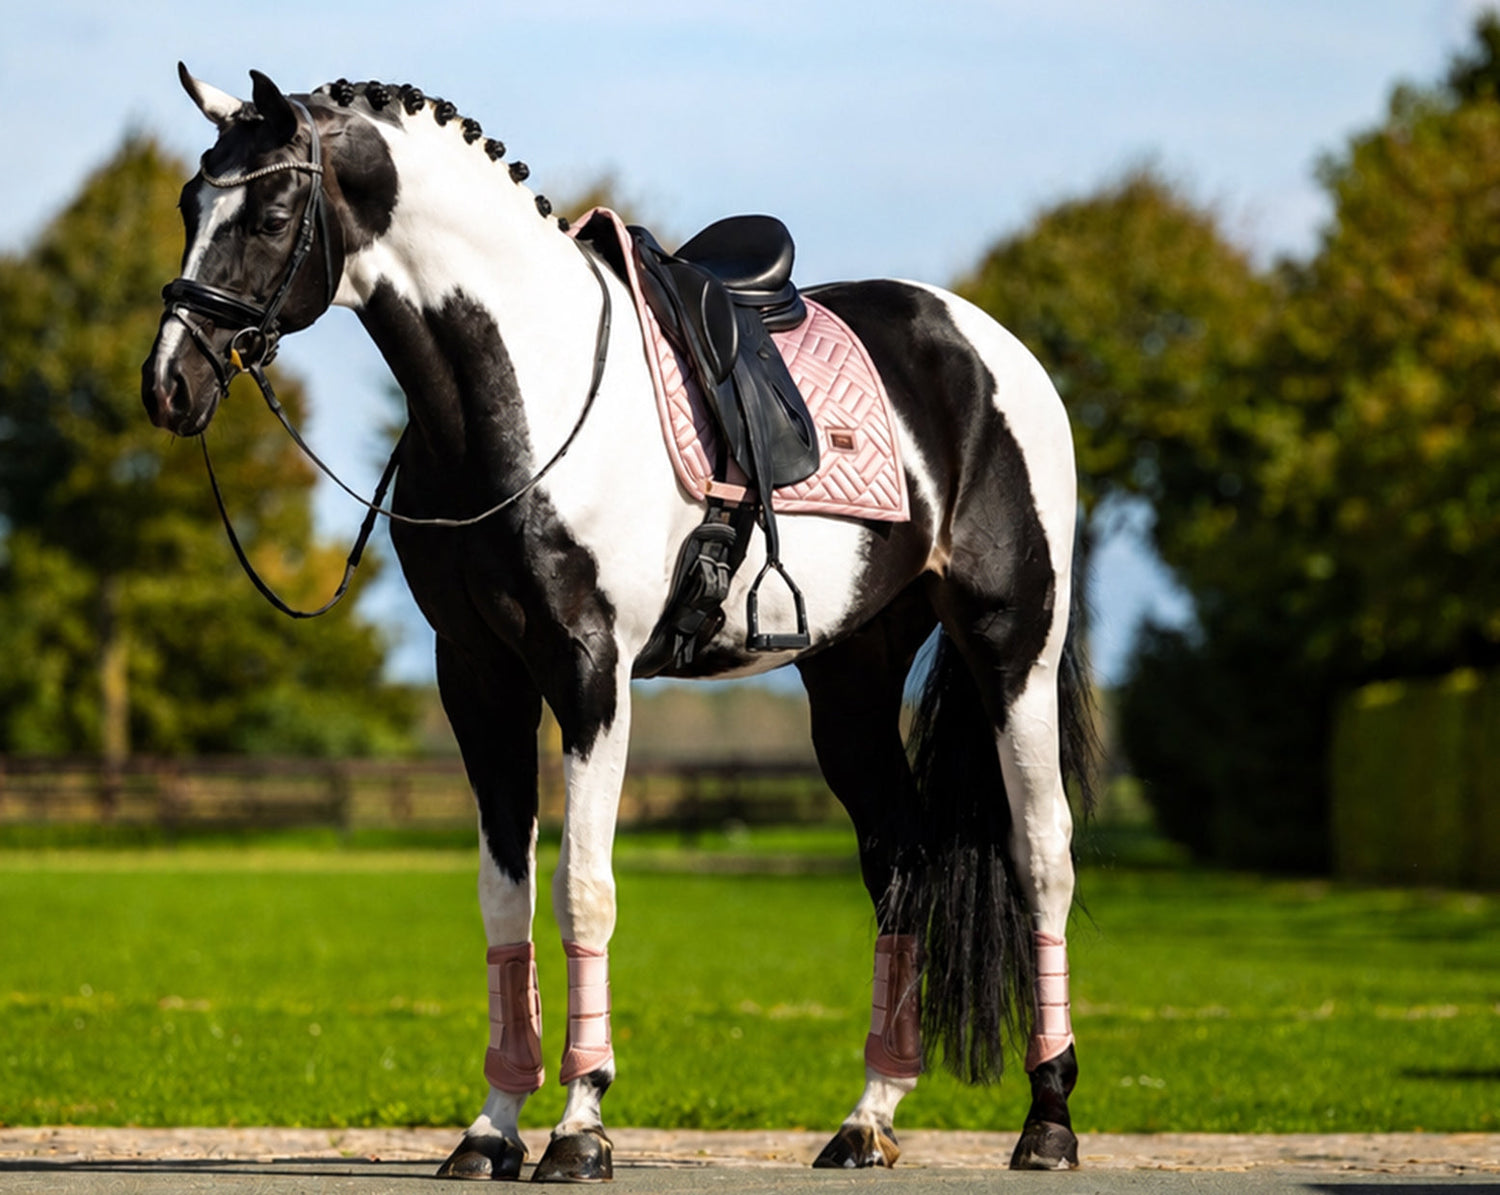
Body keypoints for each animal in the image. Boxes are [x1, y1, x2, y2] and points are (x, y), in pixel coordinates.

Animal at [141, 66, 1095, 1180]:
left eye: (271, 215)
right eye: (189, 205)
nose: (168, 384)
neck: (529, 386)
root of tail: (990, 347)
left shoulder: (590, 673)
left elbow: (582, 890)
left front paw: (580, 1126)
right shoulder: (478, 676)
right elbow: (503, 897)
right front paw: (490, 1129)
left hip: (1012, 646)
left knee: (1043, 852)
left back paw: (1048, 1117)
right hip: (852, 677)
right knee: (900, 860)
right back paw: (868, 1116)